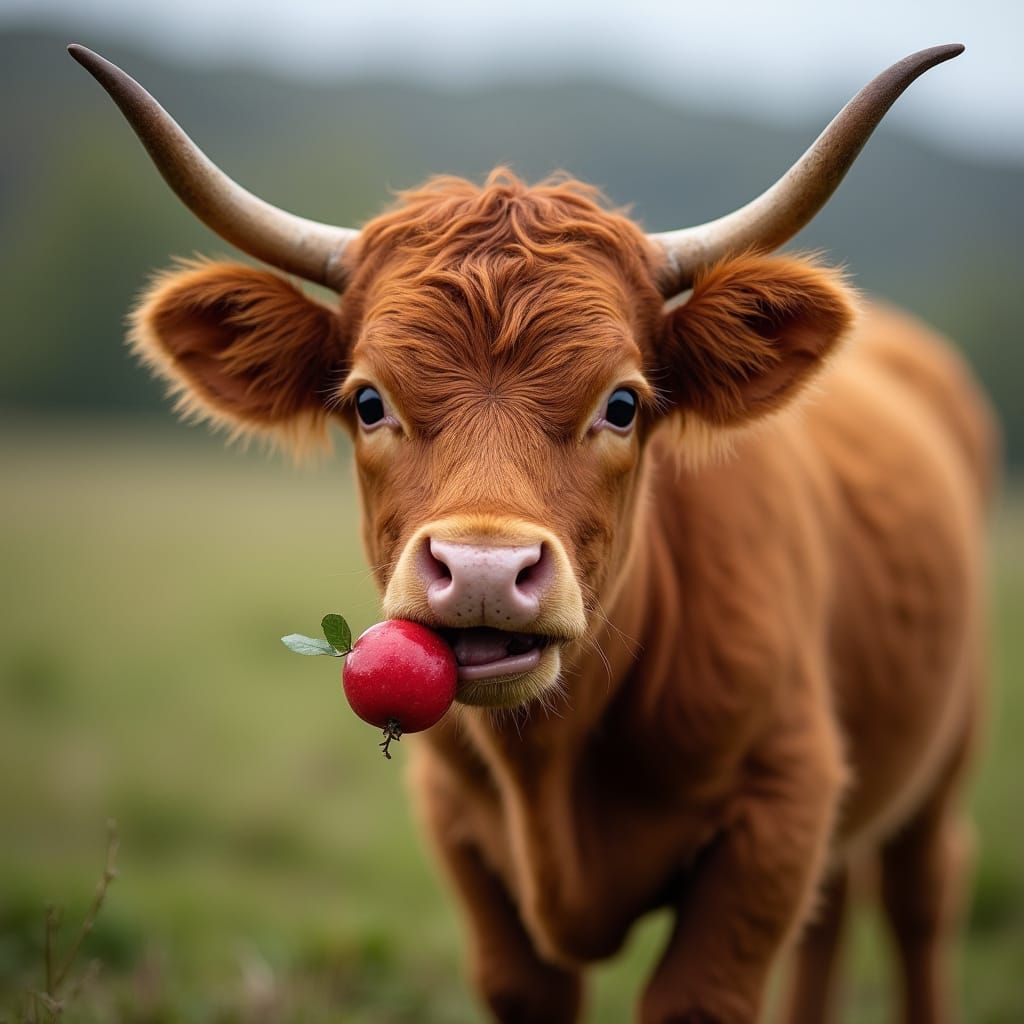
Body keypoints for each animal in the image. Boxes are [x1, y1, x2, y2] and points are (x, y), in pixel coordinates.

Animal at [70, 42, 998, 1024]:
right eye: (367, 401)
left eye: (622, 403)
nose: (484, 568)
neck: (552, 772)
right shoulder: (463, 840)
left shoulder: (778, 809)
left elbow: (699, 993)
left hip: (946, 751)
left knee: (921, 894)